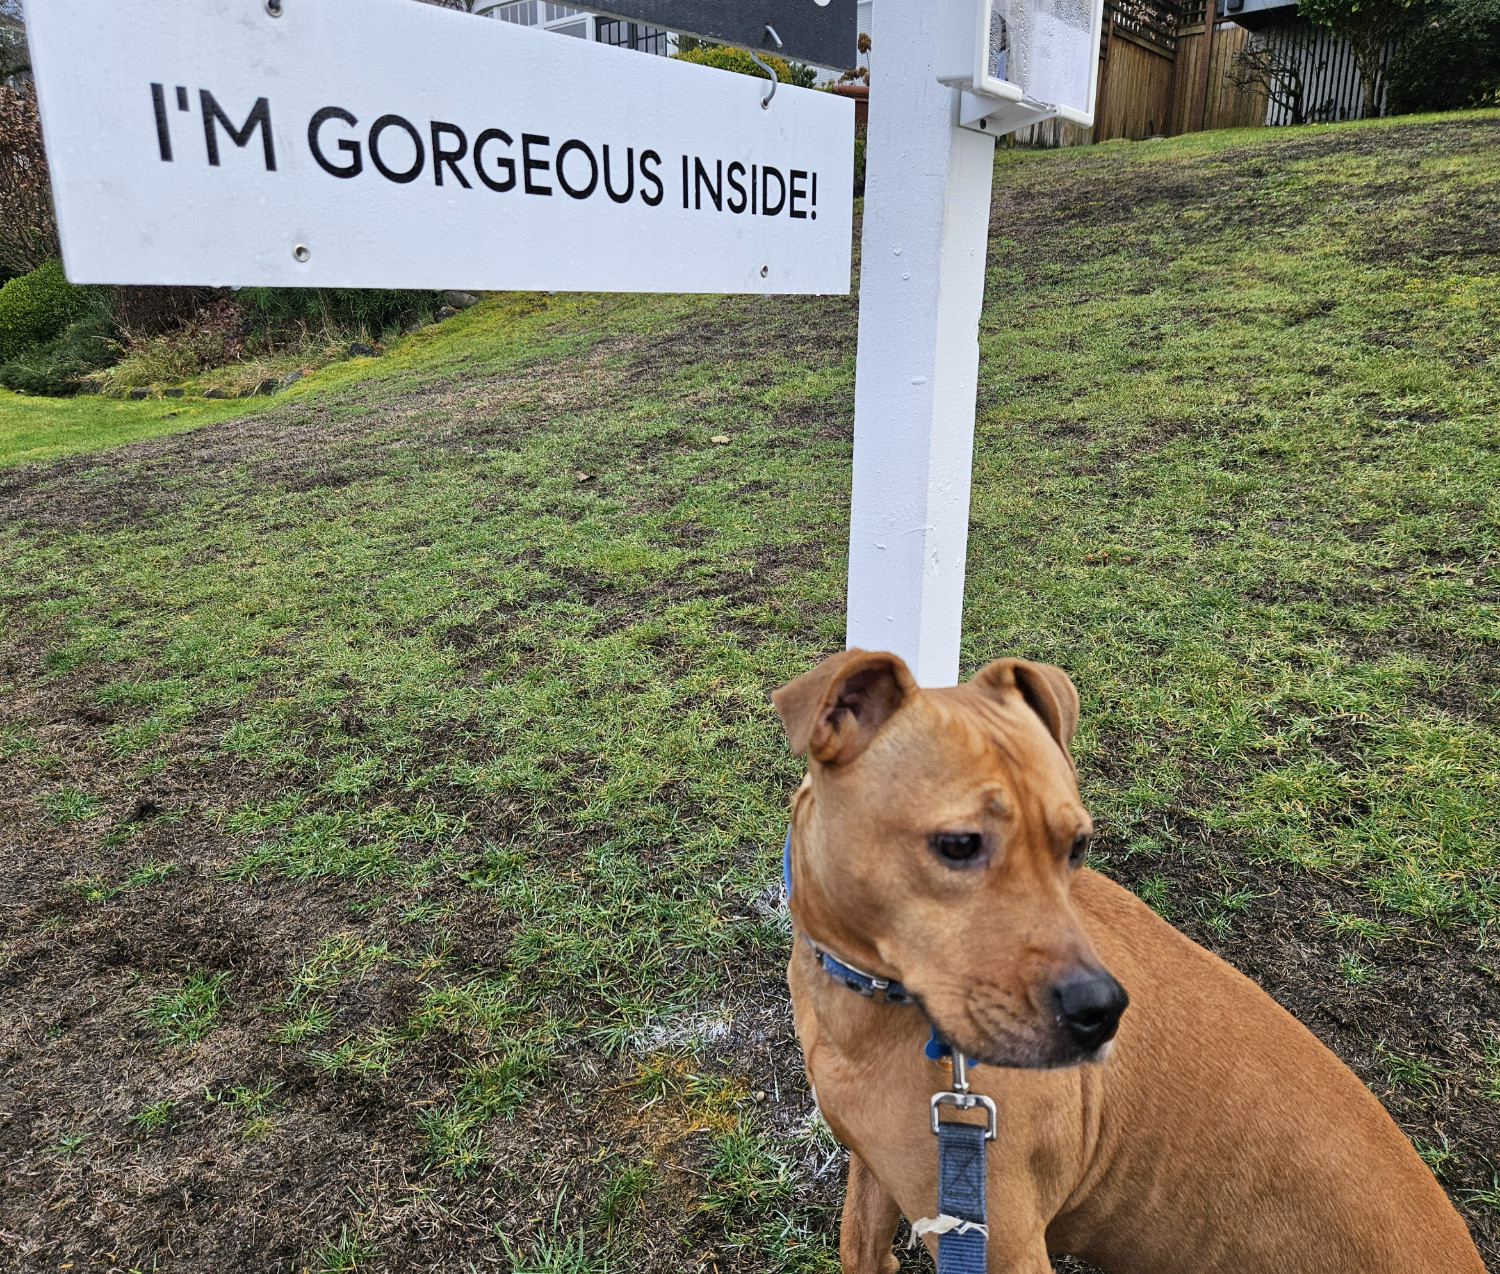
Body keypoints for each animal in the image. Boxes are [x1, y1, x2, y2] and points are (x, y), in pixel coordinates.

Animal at [780, 651, 1482, 1266]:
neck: (867, 996)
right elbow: (861, 1244)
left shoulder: (1000, 1243)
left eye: (1078, 845)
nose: (1102, 1010)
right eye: (958, 844)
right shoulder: (876, 1173)